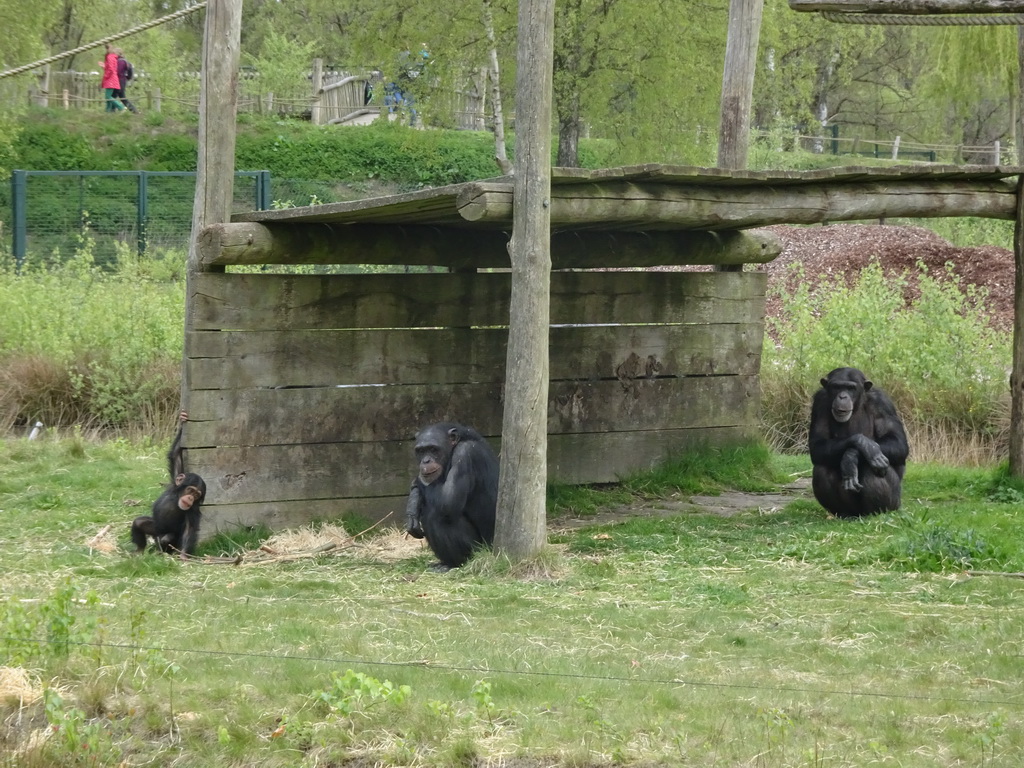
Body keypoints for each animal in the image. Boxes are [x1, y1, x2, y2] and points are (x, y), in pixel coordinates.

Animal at [130, 411, 205, 557]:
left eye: (197, 495)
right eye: (190, 490)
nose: (191, 498)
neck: (176, 497)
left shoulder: (193, 509)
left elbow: (189, 529)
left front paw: (183, 556)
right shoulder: (176, 476)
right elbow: (176, 456)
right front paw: (182, 420)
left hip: (165, 537)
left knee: (167, 538)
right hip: (156, 528)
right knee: (139, 522)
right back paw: (139, 550)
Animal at [405, 421, 501, 573]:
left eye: (433, 449)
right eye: (421, 451)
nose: (426, 461)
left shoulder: (465, 454)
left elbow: (448, 501)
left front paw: (416, 487)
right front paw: (413, 504)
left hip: (480, 549)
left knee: (436, 515)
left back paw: (454, 564)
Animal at [806, 370, 913, 520]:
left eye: (851, 388)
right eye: (837, 387)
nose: (842, 396)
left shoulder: (883, 404)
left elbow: (898, 442)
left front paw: (854, 454)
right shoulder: (819, 402)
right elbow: (817, 445)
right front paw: (861, 444)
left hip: (895, 502)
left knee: (873, 464)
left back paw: (876, 513)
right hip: (853, 509)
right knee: (823, 468)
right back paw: (845, 513)